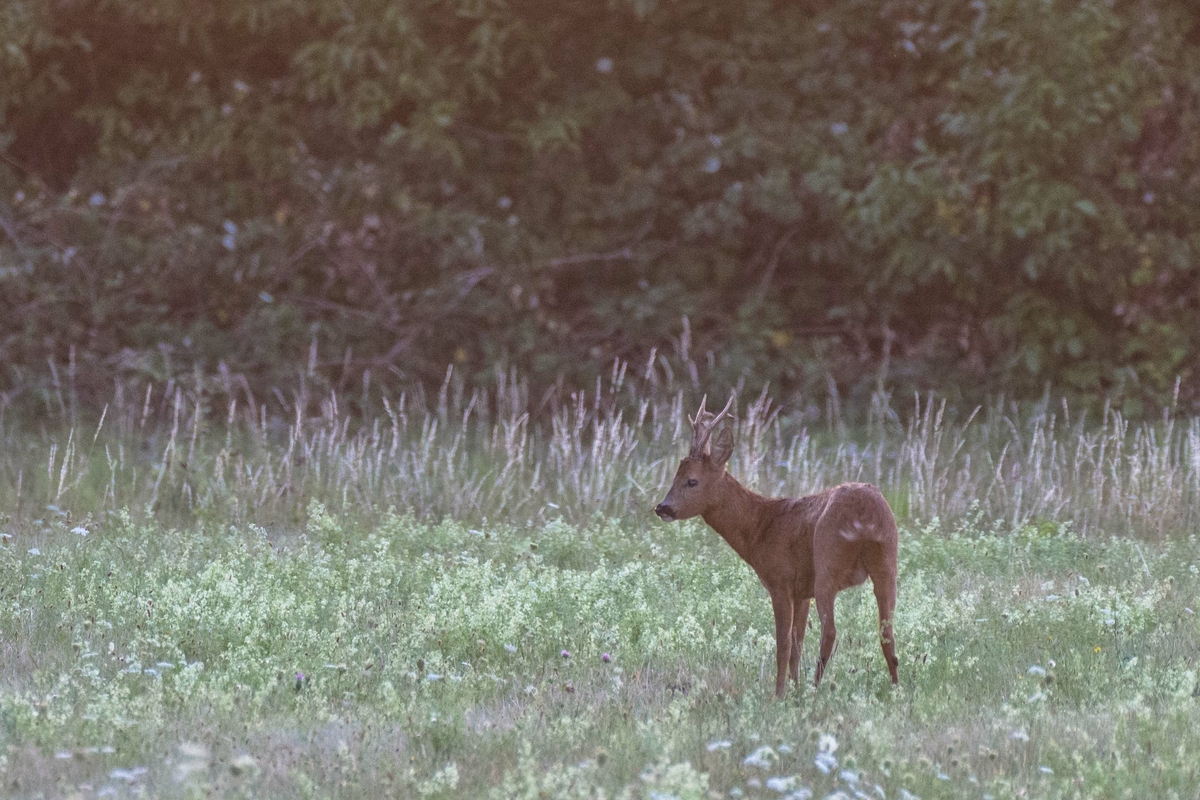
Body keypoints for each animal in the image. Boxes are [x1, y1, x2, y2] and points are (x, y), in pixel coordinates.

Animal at [657, 398, 902, 695]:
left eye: (692, 480)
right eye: (674, 476)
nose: (662, 507)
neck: (761, 527)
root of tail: (866, 516)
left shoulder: (780, 580)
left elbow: (783, 643)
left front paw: (780, 694)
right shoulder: (802, 591)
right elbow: (797, 642)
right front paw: (794, 689)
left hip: (828, 562)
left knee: (830, 631)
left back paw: (815, 687)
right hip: (887, 562)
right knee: (887, 632)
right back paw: (896, 688)